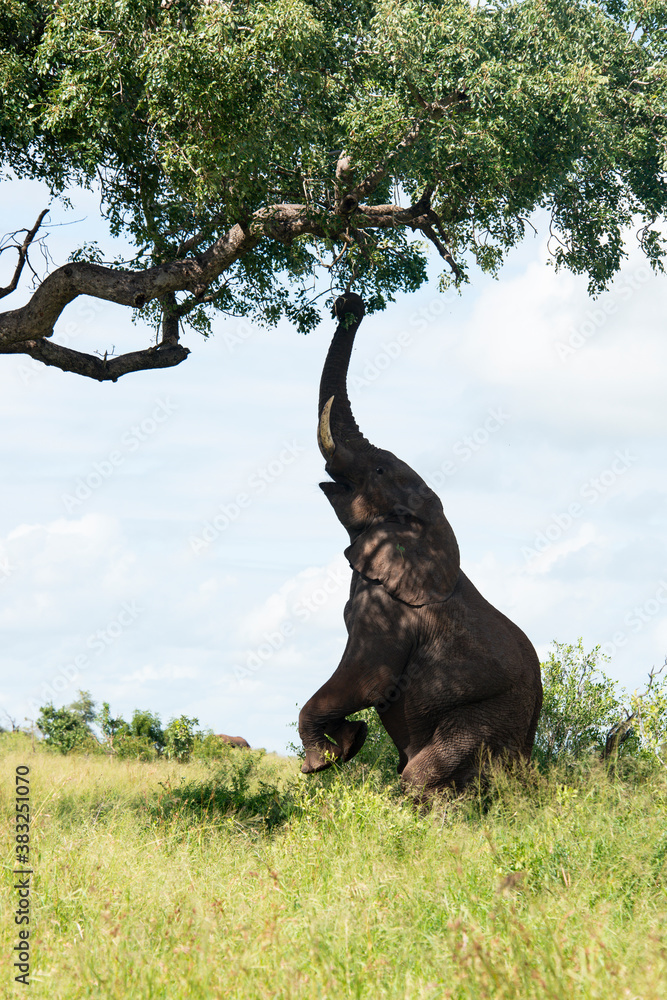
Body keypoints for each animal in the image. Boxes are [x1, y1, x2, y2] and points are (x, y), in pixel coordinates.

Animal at [298, 293, 543, 795]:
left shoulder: (389, 615)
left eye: (378, 470)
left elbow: (367, 679)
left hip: (484, 718)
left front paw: (326, 758)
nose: (350, 302)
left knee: (420, 774)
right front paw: (348, 742)